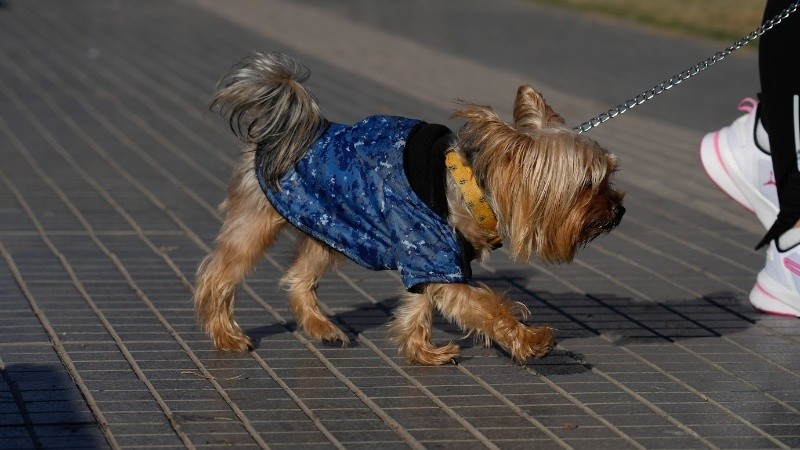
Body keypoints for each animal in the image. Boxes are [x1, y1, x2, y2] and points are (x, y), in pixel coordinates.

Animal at [194, 51, 624, 366]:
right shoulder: (435, 257)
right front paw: (530, 340)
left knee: (300, 277)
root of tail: (280, 134)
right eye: (587, 185)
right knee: (218, 276)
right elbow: (487, 306)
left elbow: (419, 305)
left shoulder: (427, 260)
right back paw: (227, 335)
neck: (470, 189)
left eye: (609, 177)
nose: (619, 211)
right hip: (258, 223)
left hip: (333, 225)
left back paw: (321, 328)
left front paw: (422, 351)